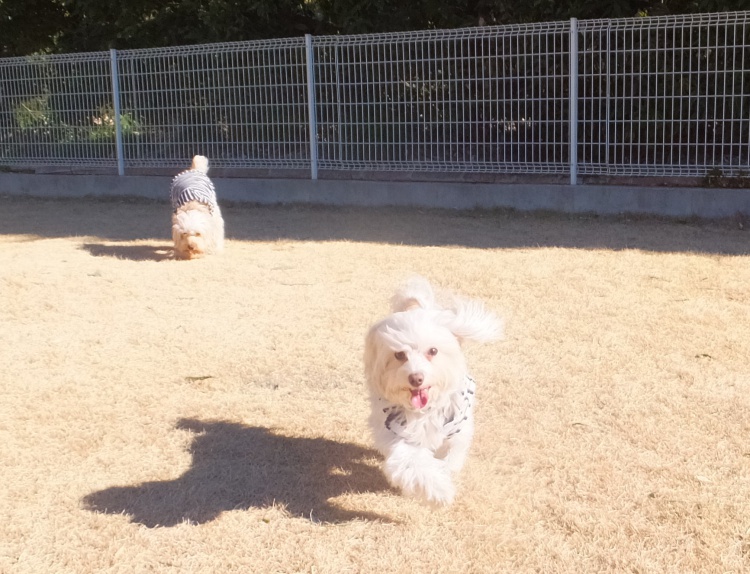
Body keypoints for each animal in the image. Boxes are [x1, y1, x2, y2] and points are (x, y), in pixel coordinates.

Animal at [363, 276, 502, 505]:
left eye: (433, 351)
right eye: (399, 355)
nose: (416, 378)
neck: (424, 412)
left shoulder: (457, 431)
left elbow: (450, 457)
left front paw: (445, 475)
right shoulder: (398, 434)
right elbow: (412, 464)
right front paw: (440, 491)